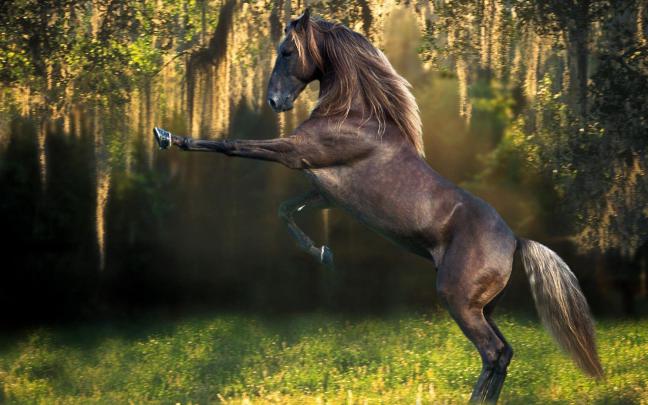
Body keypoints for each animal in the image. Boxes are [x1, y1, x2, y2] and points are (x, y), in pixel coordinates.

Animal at [153, 10, 603, 403]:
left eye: (287, 52)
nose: (274, 101)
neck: (353, 115)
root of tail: (515, 241)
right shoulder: (324, 192)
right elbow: (286, 210)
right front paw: (324, 254)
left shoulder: (295, 153)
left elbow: (232, 145)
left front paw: (167, 137)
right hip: (483, 306)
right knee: (504, 353)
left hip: (459, 300)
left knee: (493, 353)